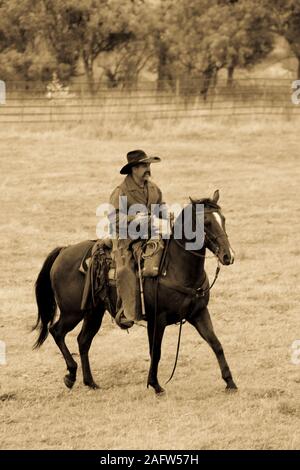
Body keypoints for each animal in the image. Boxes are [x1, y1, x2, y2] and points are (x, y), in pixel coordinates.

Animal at [33, 189, 239, 394]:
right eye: (206, 223)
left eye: (223, 219)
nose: (228, 256)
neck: (174, 267)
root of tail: (64, 251)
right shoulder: (157, 319)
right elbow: (155, 352)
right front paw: (155, 385)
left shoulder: (198, 312)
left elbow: (216, 344)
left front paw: (230, 382)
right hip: (72, 312)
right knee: (56, 331)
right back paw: (71, 374)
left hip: (93, 312)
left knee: (83, 341)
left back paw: (90, 382)